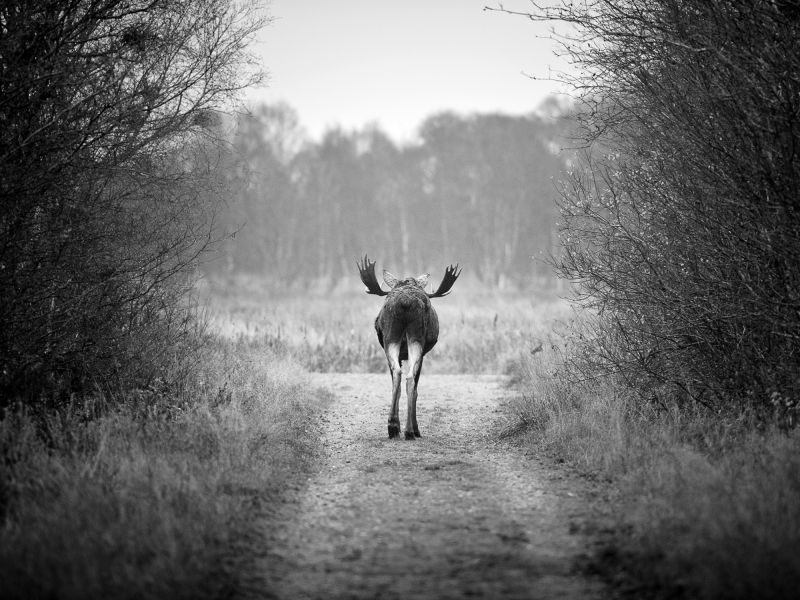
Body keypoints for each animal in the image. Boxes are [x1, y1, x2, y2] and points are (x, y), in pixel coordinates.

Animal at [357, 255, 461, 439]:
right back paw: (409, 430)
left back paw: (395, 426)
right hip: (414, 337)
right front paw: (413, 427)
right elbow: (415, 389)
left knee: (399, 374)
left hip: (392, 337)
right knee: (409, 377)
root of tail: (405, 302)